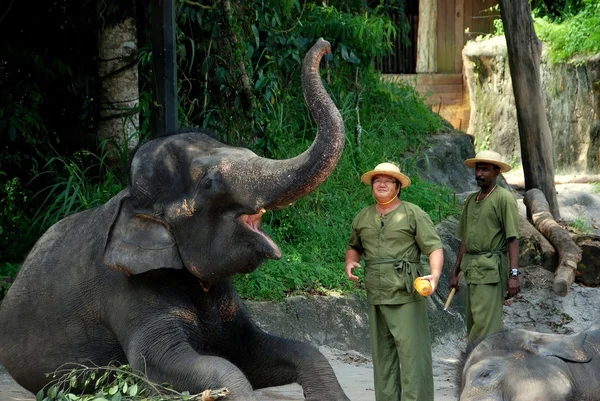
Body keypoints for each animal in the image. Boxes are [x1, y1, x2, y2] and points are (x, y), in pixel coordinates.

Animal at [0, 38, 352, 400]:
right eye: (209, 182)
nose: (324, 45)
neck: (133, 200)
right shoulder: (127, 290)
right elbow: (161, 367)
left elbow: (262, 352)